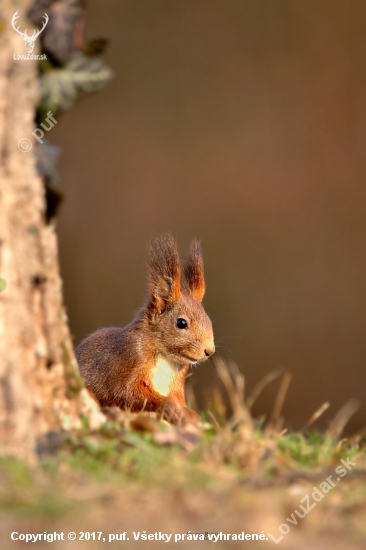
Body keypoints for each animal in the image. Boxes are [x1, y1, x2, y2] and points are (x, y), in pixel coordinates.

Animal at [75, 234, 214, 426]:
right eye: (181, 323)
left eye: (209, 319)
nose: (210, 351)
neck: (166, 357)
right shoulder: (129, 356)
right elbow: (124, 391)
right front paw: (168, 406)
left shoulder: (177, 380)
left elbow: (178, 398)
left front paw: (189, 414)